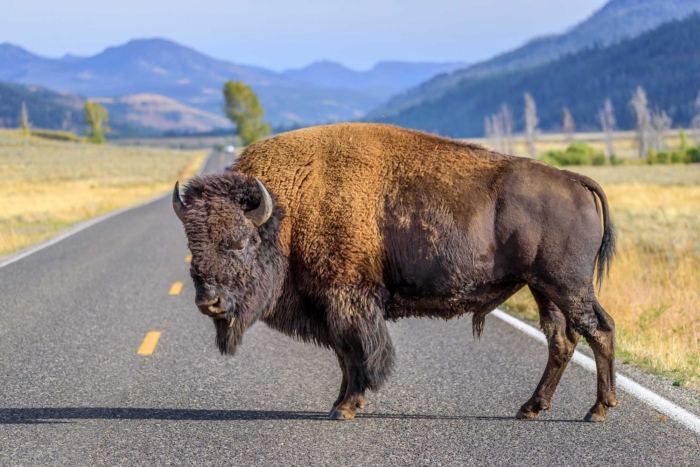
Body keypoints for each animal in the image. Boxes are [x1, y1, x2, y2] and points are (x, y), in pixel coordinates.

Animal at [173, 123, 617, 422]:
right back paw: (531, 408)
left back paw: (598, 410)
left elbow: (358, 352)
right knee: (562, 339)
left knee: (597, 329)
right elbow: (344, 355)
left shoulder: (347, 298)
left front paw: (346, 407)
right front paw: (340, 403)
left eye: (240, 241)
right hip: (544, 288)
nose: (209, 302)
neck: (289, 207)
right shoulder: (332, 305)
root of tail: (574, 180)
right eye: (192, 245)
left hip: (566, 286)